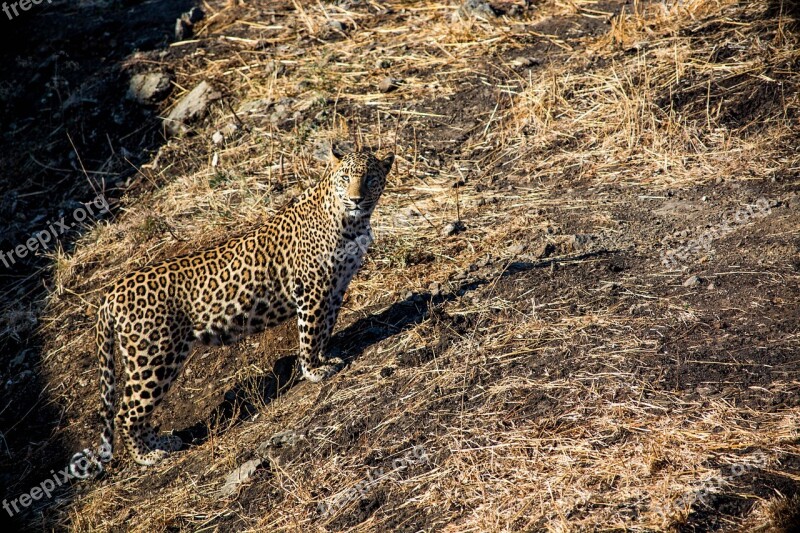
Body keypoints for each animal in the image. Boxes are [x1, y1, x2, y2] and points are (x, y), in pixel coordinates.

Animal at [70, 148, 396, 476]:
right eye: (346, 177)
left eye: (370, 178)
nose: (356, 199)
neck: (352, 222)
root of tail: (111, 292)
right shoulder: (311, 288)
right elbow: (311, 331)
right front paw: (314, 370)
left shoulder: (336, 286)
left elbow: (326, 326)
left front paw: (326, 358)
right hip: (154, 356)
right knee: (126, 412)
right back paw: (147, 456)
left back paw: (164, 443)